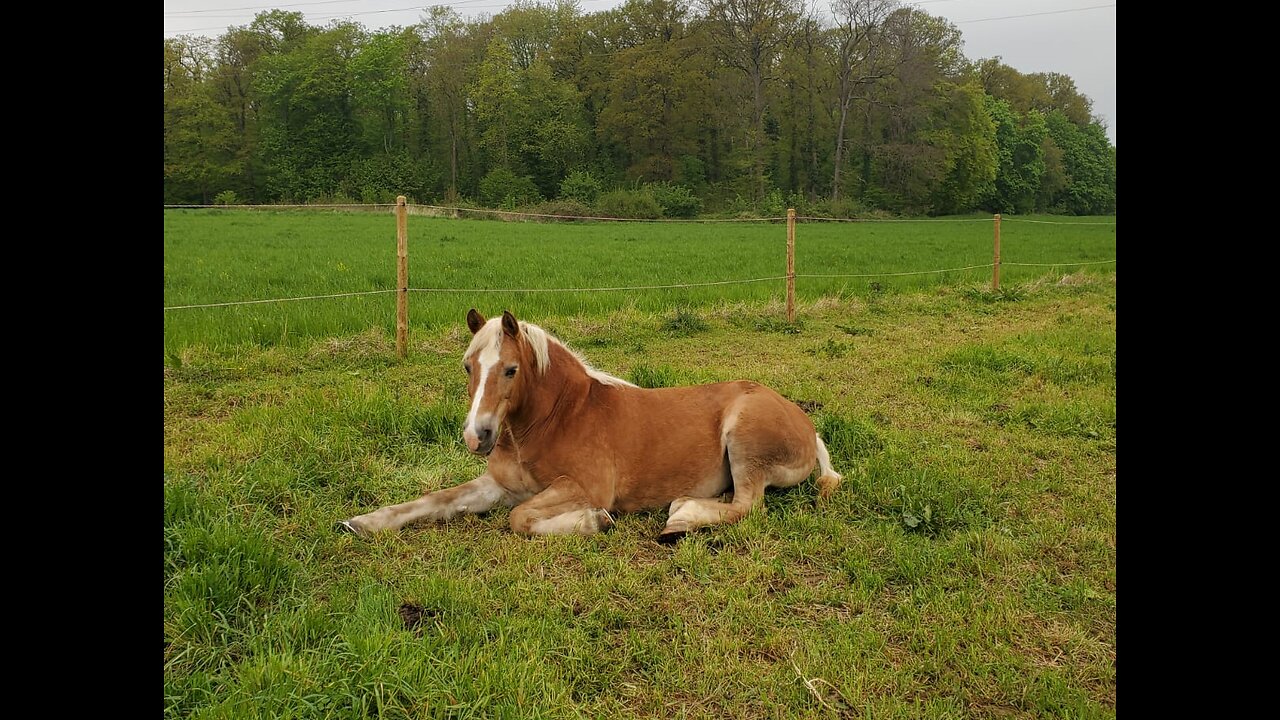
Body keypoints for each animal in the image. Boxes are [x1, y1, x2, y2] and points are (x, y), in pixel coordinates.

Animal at [335, 307, 844, 538]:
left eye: (511, 370)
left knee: (747, 505)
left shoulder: (583, 486)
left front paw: (595, 521)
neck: (553, 421)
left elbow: (521, 518)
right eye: (467, 366)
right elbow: (436, 500)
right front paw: (360, 522)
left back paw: (681, 515)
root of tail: (807, 426)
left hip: (743, 438)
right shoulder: (498, 484)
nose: (476, 436)